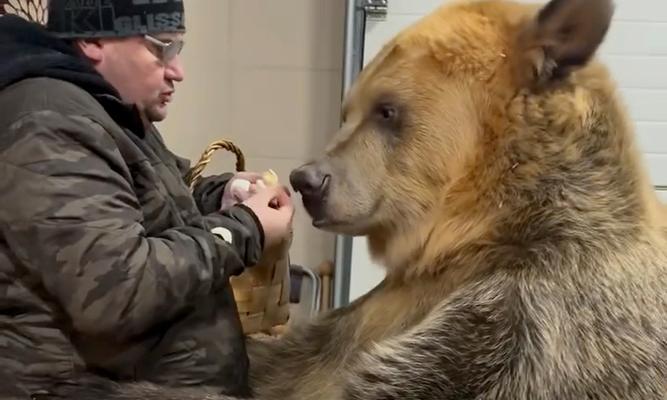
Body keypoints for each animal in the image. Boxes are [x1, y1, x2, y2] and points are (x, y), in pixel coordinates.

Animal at [33, 0, 667, 398]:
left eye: (388, 110)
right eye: (350, 107)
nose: (307, 179)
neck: (470, 239)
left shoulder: (529, 325)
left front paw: (93, 382)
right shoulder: (371, 314)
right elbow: (291, 361)